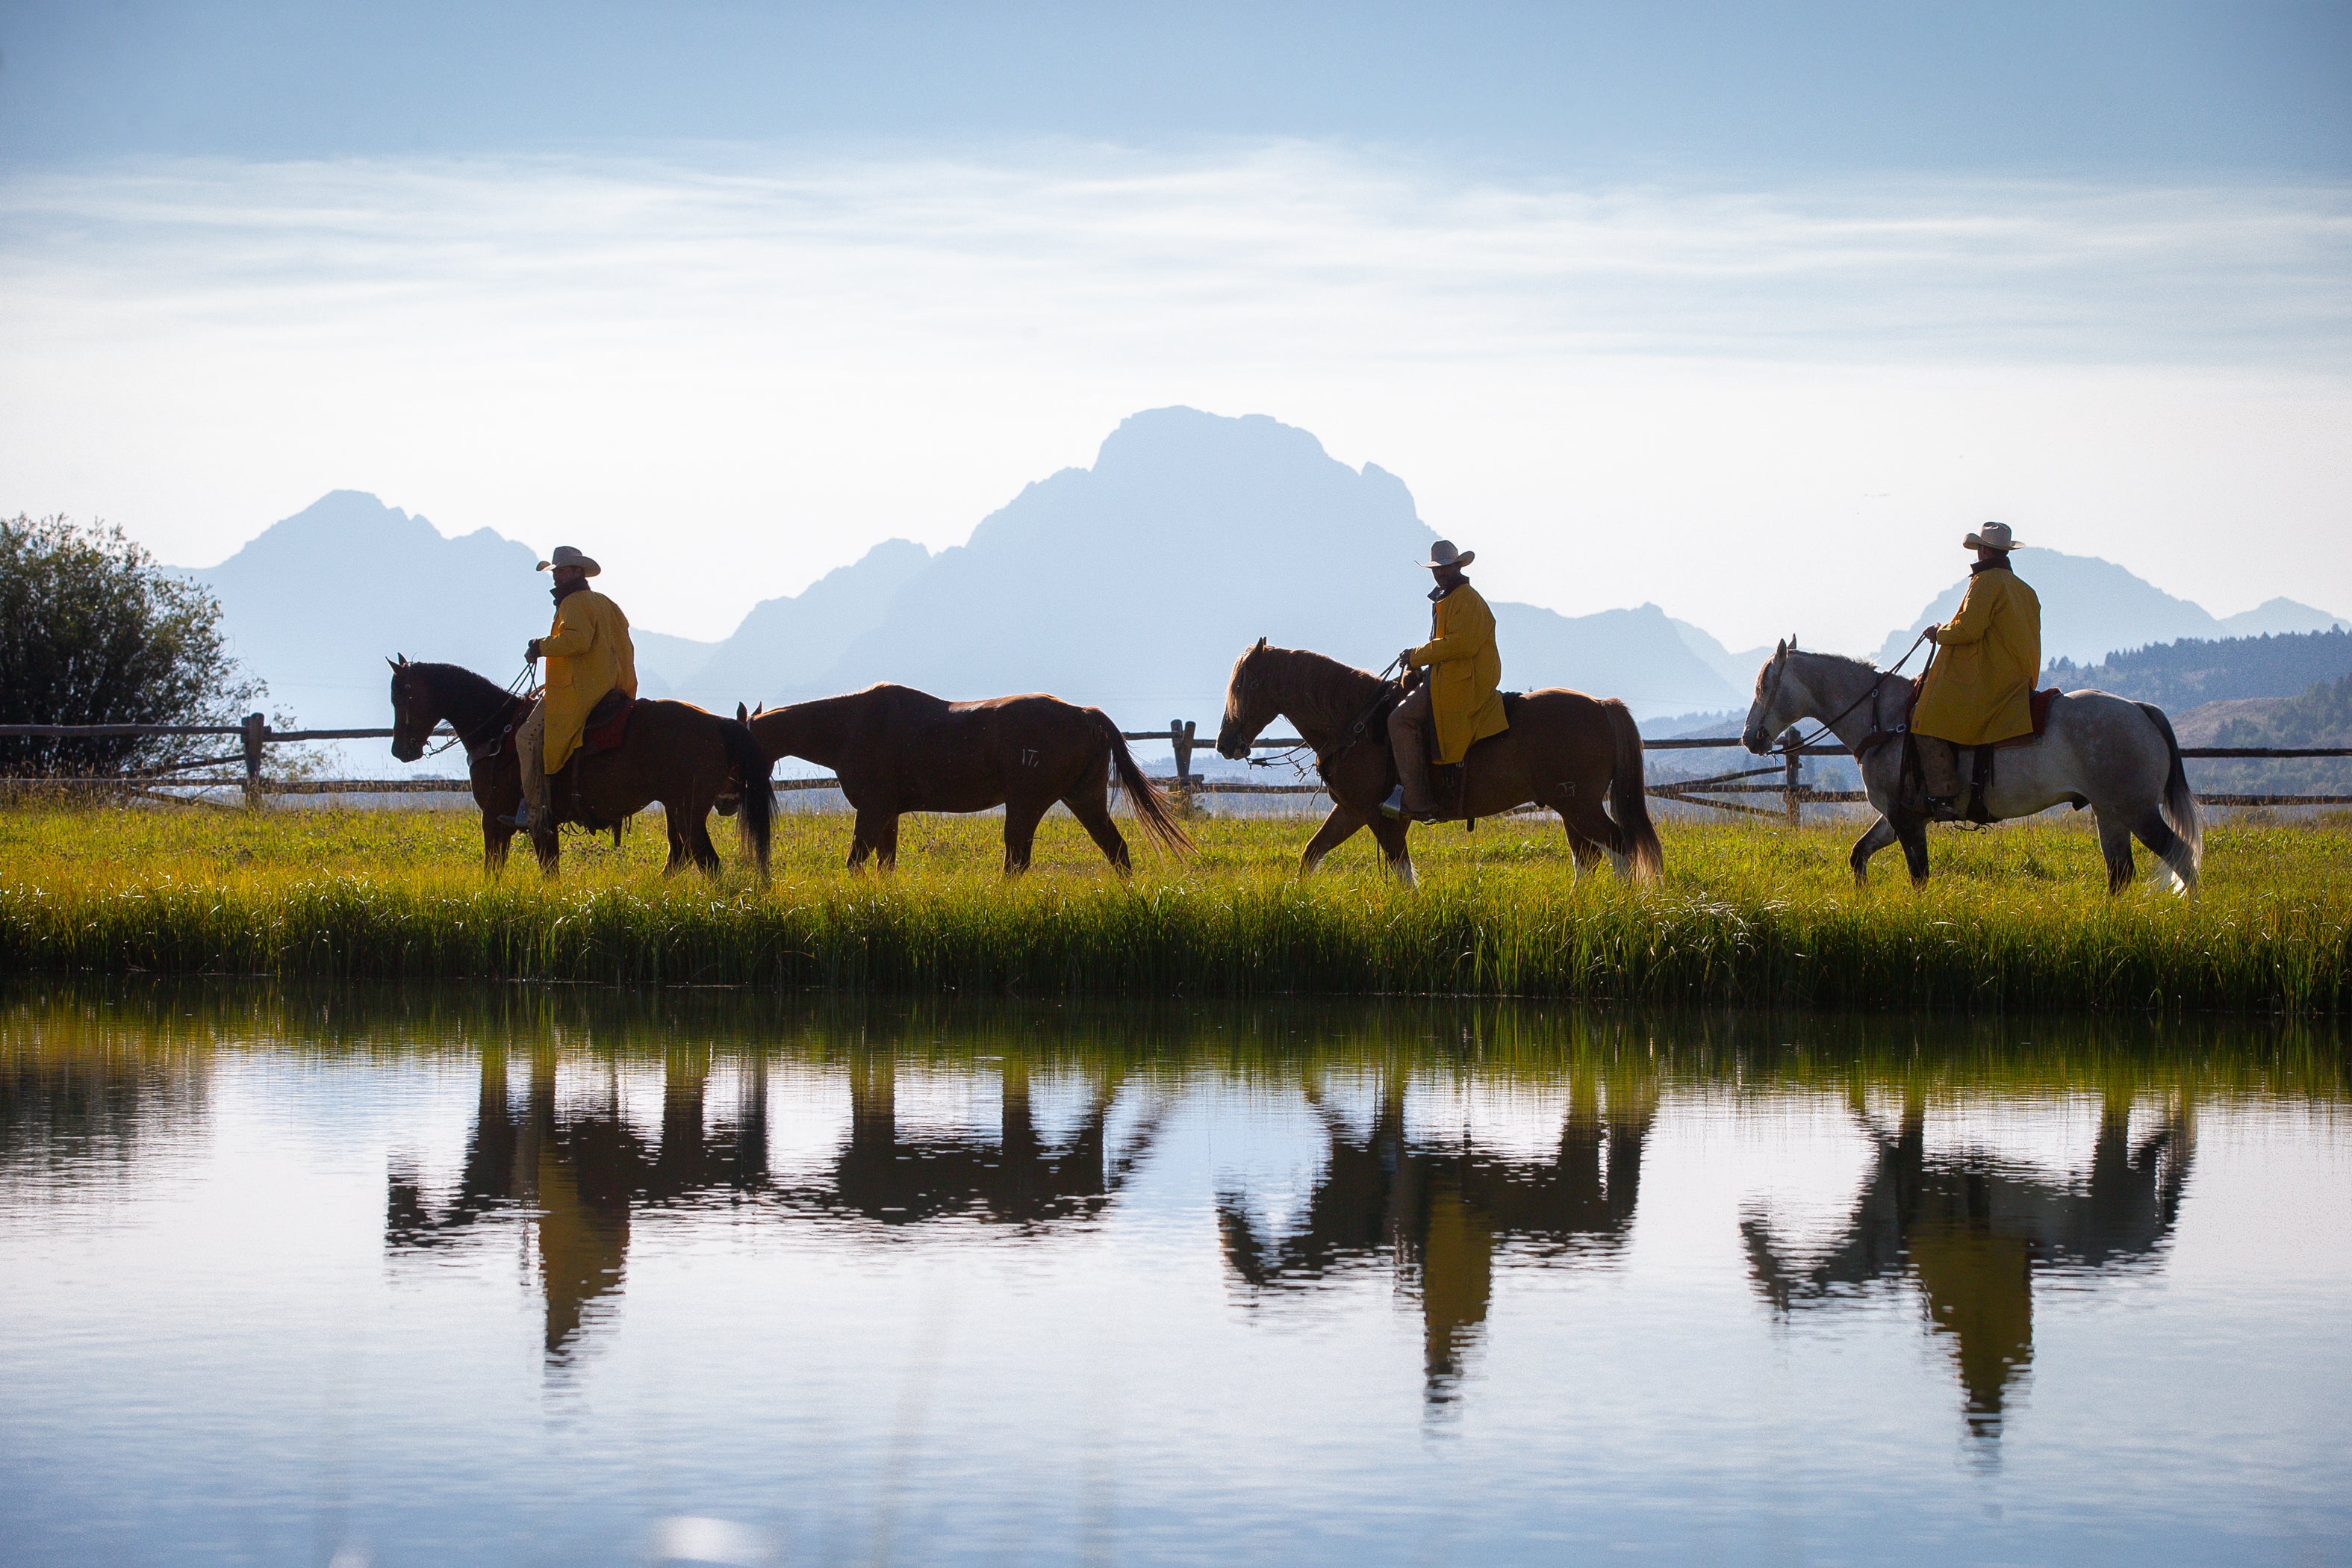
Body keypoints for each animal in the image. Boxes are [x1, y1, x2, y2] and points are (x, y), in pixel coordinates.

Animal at [390, 658, 776, 883]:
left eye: (401, 696)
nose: (400, 750)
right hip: (676, 808)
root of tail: (719, 723)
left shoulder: (497, 819)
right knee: (679, 856)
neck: (497, 729)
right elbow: (549, 871)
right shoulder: (541, 826)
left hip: (689, 809)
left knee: (707, 862)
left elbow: (496, 872)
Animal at [719, 686, 1195, 879]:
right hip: (1084, 798)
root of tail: (1085, 714)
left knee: (1017, 860)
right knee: (1116, 850)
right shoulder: (888, 815)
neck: (850, 727)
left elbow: (855, 862)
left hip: (1027, 804)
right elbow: (883, 866)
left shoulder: (873, 810)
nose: (724, 802)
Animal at [1213, 635, 1674, 883]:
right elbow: (1311, 854)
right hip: (1570, 807)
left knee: (1619, 848)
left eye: (1248, 683)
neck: (1356, 720)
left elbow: (1402, 873)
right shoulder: (1351, 811)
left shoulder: (1380, 816)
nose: (1226, 742)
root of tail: (1601, 706)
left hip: (1579, 804)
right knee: (1589, 858)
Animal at [1749, 644, 2201, 893]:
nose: (1750, 736)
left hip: (2136, 811)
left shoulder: (1906, 819)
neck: (1885, 720)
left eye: (1763, 684)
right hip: (2109, 813)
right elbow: (1859, 854)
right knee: (2120, 872)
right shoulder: (1897, 817)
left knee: (2181, 857)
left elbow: (1919, 875)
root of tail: (2140, 710)